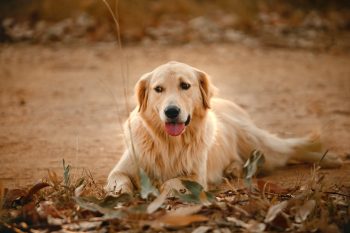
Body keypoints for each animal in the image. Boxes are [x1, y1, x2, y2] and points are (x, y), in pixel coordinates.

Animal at [106, 61, 342, 194]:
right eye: (158, 89)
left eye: (185, 86)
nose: (171, 111)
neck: (169, 142)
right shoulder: (123, 167)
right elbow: (118, 180)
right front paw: (120, 193)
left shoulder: (196, 177)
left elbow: (172, 182)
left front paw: (161, 189)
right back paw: (233, 169)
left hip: (257, 143)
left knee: (289, 148)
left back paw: (330, 159)